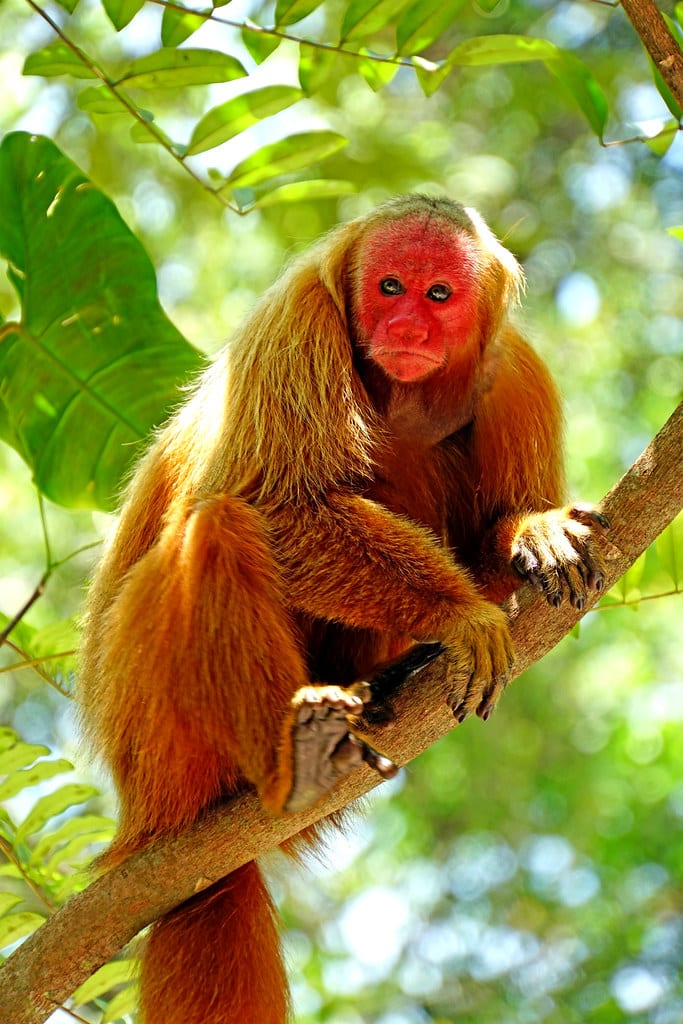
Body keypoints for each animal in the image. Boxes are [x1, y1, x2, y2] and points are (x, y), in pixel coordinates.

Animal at [79, 195, 607, 1023]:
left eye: (437, 295)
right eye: (388, 287)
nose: (406, 330)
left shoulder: (516, 375)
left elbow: (499, 543)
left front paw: (532, 531)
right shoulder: (297, 321)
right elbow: (280, 504)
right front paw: (457, 617)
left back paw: (387, 682)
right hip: (153, 729)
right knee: (222, 523)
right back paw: (289, 765)